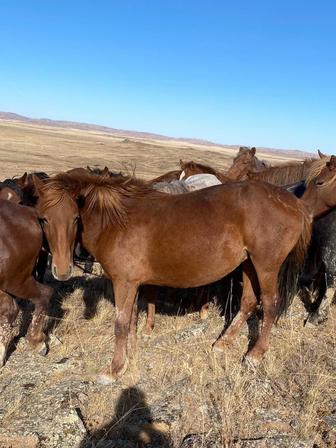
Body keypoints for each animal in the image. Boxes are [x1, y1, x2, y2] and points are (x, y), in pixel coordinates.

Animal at [32, 157, 336, 382]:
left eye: (75, 218)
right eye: (43, 219)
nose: (62, 270)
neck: (117, 220)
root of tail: (294, 203)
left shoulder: (124, 282)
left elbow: (120, 324)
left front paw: (115, 369)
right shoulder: (133, 283)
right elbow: (131, 322)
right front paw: (131, 355)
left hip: (267, 266)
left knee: (270, 305)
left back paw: (255, 354)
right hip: (249, 265)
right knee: (248, 302)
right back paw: (223, 343)